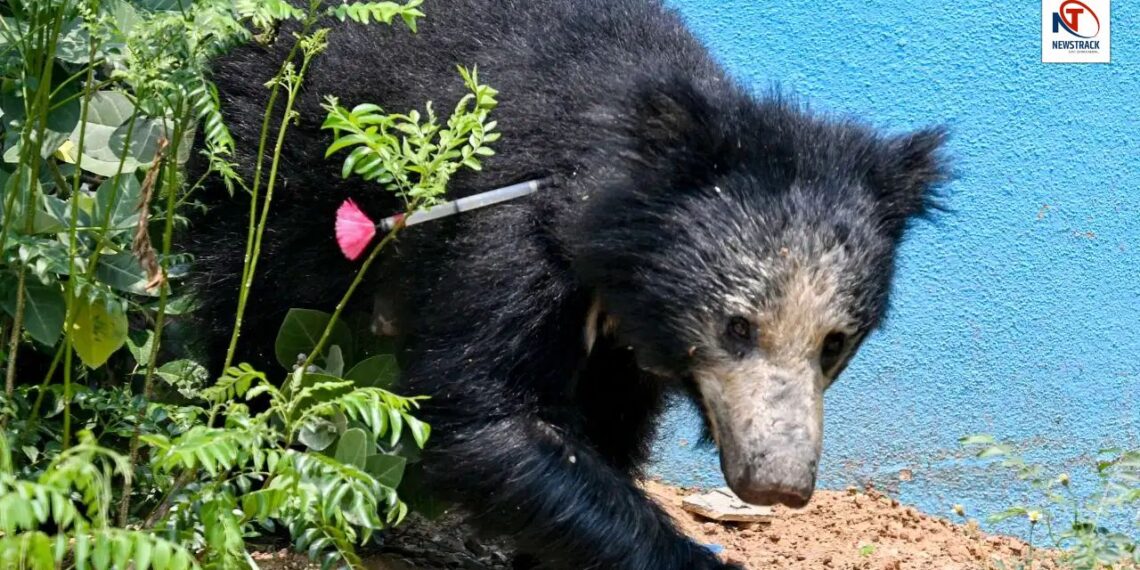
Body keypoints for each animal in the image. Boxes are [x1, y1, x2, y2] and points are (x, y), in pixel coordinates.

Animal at [190, 0, 948, 568]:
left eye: (834, 345)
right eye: (737, 327)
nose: (778, 486)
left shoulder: (629, 334)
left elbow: (607, 425)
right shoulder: (510, 231)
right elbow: (490, 418)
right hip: (278, 158)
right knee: (253, 301)